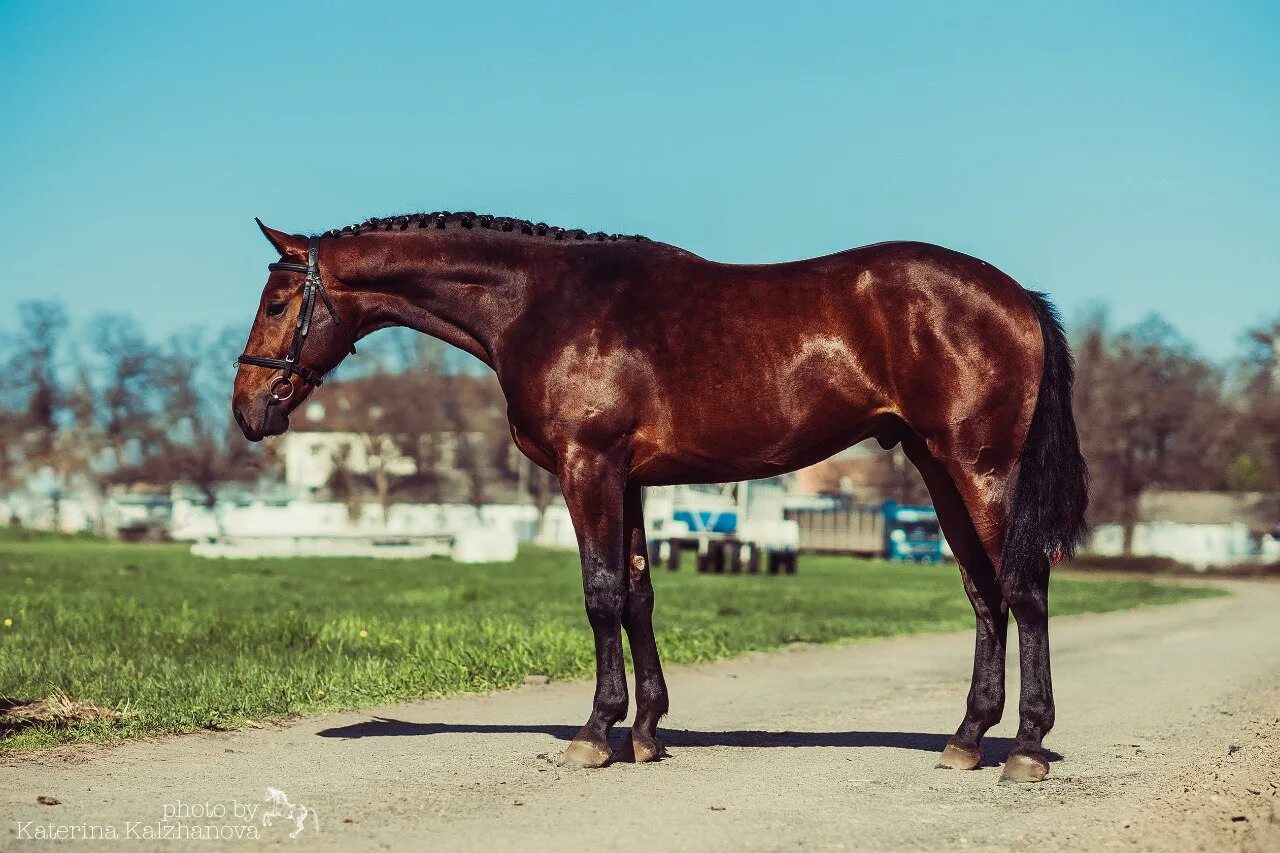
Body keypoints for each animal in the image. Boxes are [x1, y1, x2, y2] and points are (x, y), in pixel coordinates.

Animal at [227, 211, 1080, 778]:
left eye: (276, 303)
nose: (247, 409)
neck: (542, 302)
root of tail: (1018, 297)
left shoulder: (588, 467)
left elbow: (601, 593)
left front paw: (594, 731)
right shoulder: (630, 479)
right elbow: (638, 594)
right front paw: (645, 730)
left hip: (979, 467)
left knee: (1024, 587)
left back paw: (1025, 747)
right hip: (938, 468)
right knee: (984, 594)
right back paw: (966, 739)